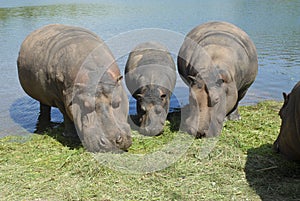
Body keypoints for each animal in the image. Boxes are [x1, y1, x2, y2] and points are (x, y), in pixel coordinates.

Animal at [17, 23, 132, 152]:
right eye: (86, 105)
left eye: (117, 102)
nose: (111, 141)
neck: (95, 73)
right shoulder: (60, 98)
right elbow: (66, 115)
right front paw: (70, 136)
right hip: (43, 96)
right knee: (44, 107)